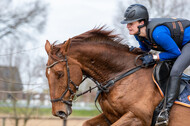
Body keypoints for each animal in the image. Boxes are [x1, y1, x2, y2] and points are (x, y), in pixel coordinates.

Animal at [45, 27, 190, 126]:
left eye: (59, 73)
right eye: (46, 75)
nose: (58, 112)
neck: (119, 76)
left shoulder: (137, 117)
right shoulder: (110, 116)